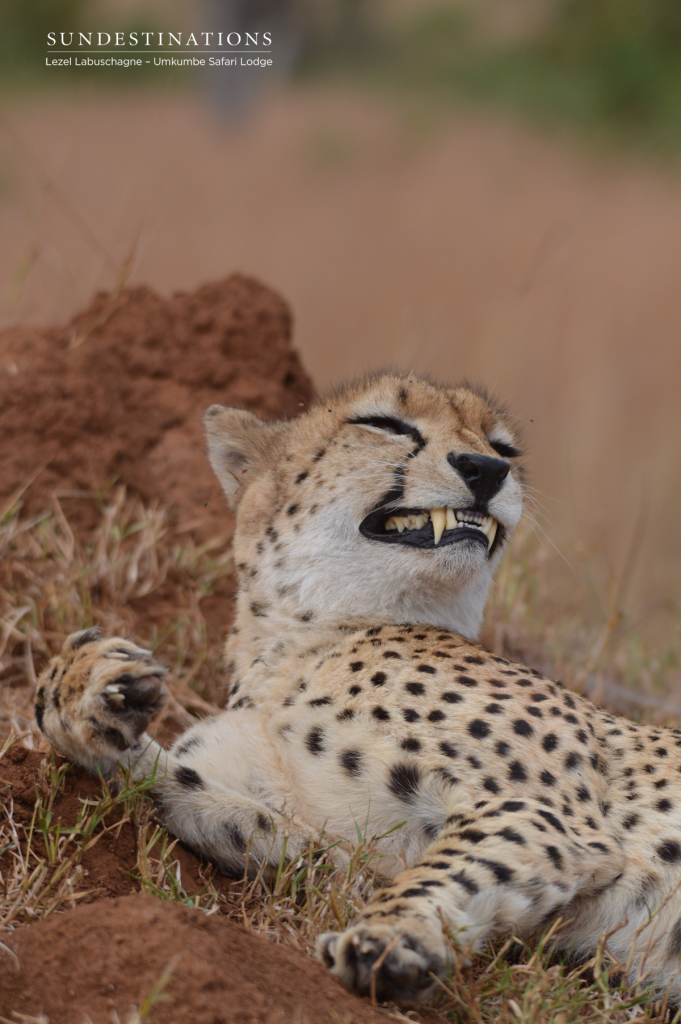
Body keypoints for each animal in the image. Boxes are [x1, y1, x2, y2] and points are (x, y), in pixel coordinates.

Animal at [35, 374, 681, 999]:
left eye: (505, 448)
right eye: (384, 424)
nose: (485, 468)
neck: (301, 641)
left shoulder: (552, 818)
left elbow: (454, 865)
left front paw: (392, 938)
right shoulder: (336, 859)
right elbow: (181, 788)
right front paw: (87, 691)